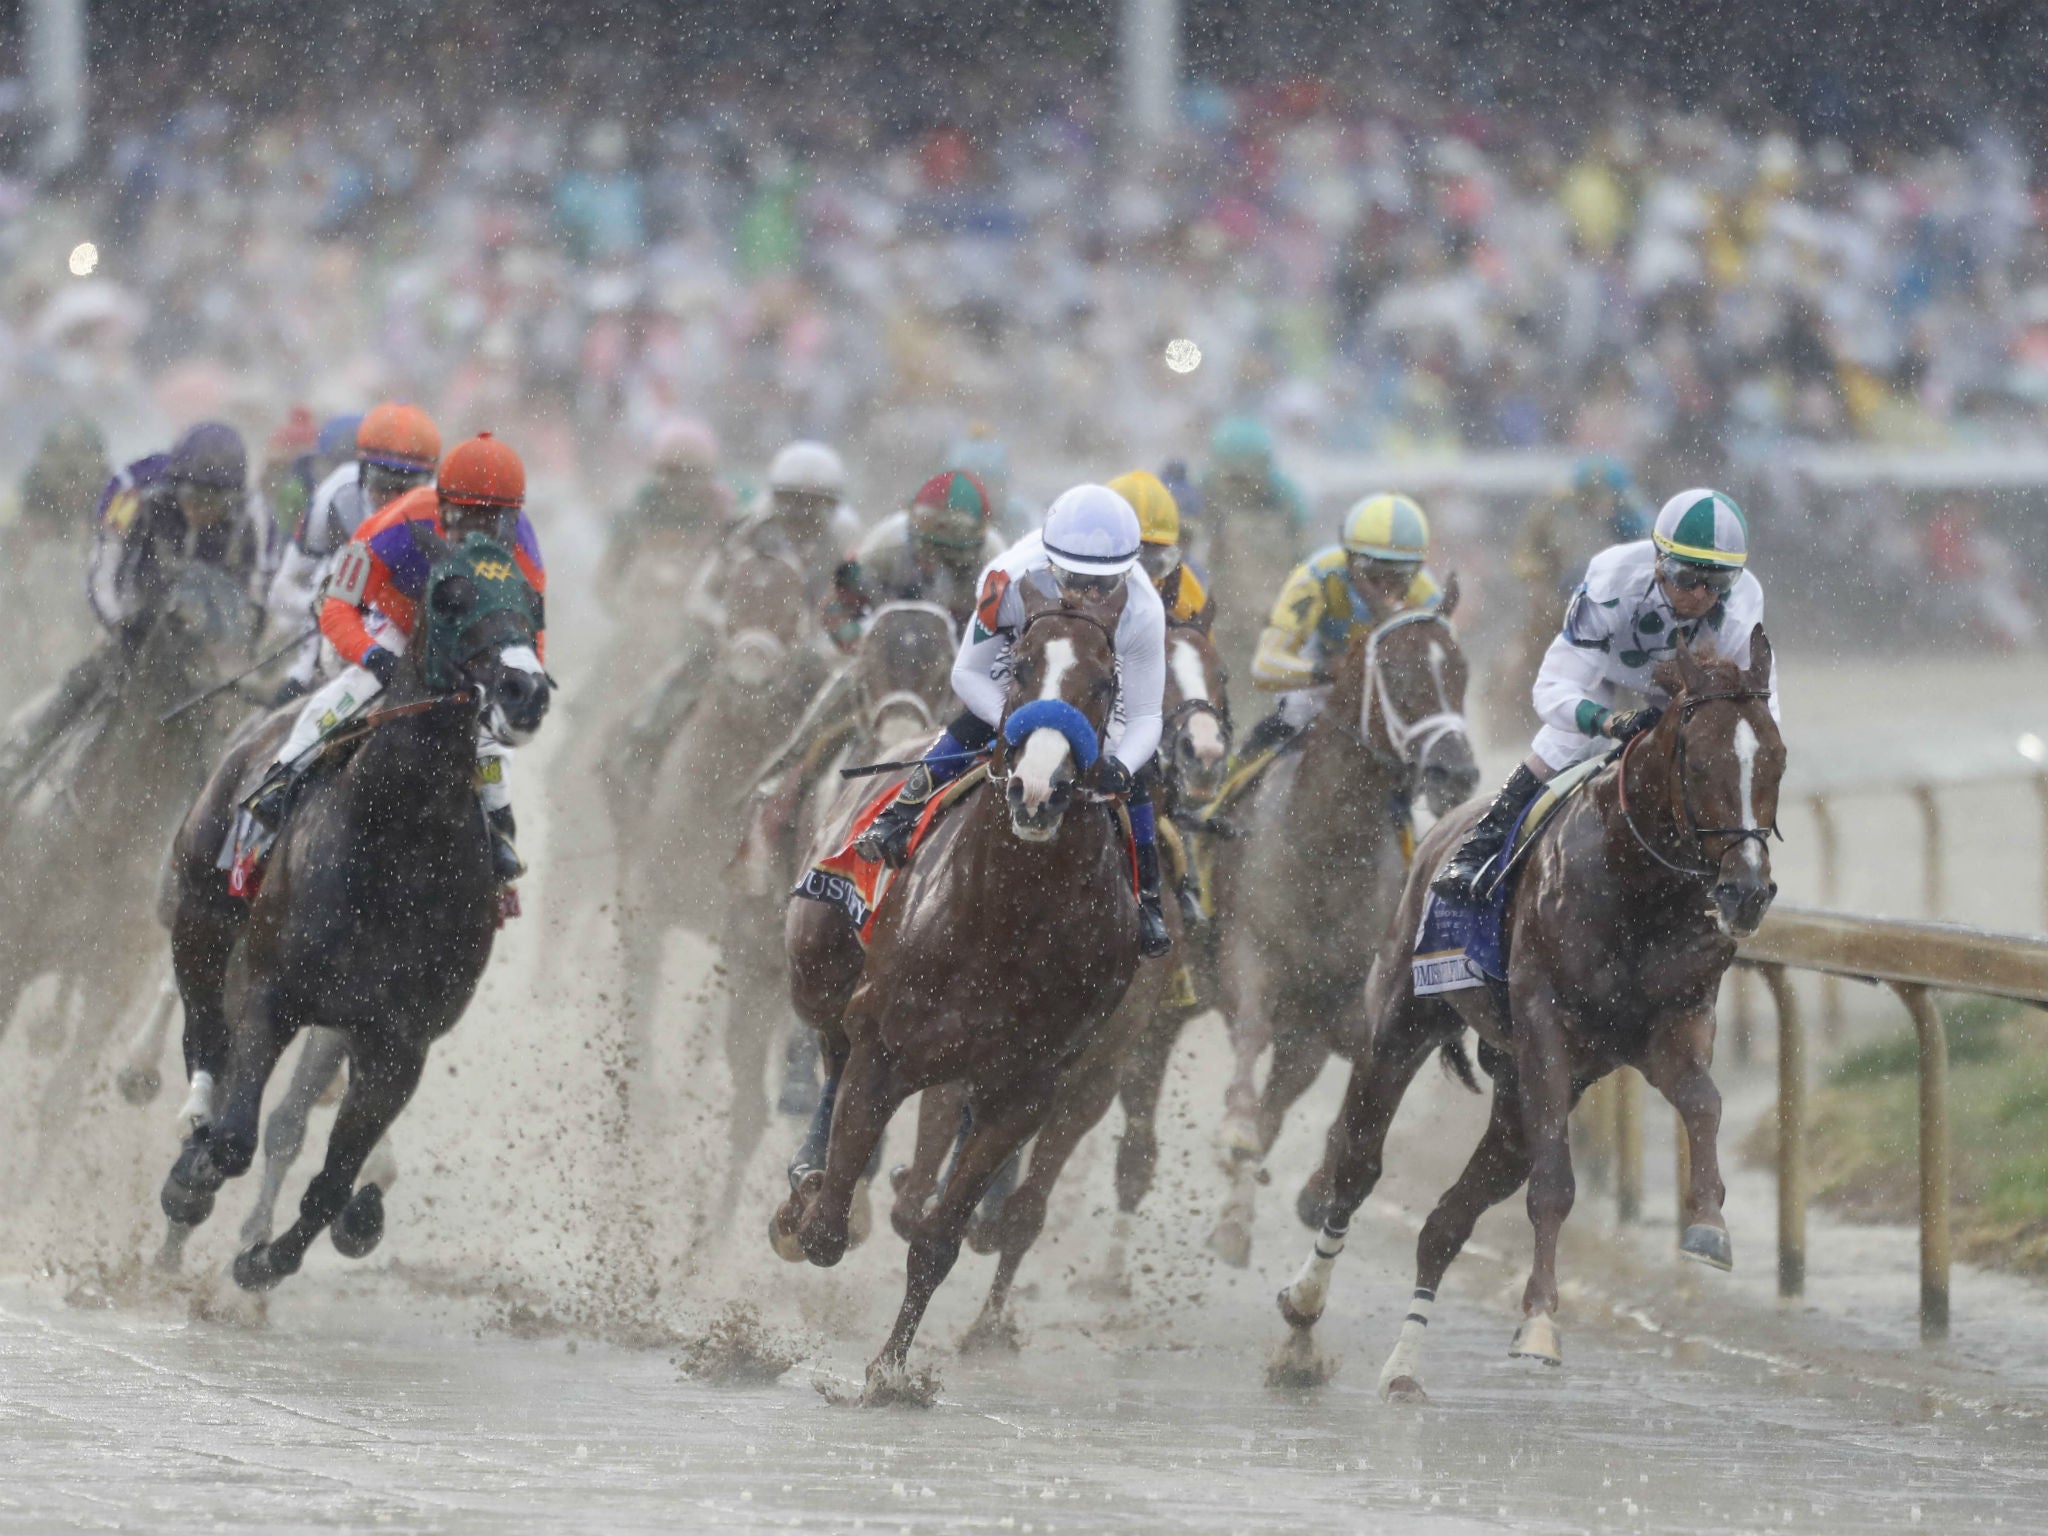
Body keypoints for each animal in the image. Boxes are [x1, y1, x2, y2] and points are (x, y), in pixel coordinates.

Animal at [153, 536, 552, 1294]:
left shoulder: (397, 1044)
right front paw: (193, 1179)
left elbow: (331, 1184)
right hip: (201, 917)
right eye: (448, 596)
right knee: (205, 1038)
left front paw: (271, 1256)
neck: (400, 848)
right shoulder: (270, 992)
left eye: (534, 605)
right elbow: (234, 1141)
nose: (527, 690)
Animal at [774, 577, 1146, 1409]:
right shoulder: (884, 1043)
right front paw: (808, 1203)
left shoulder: (1024, 1091)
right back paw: (807, 1175)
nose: (1038, 791)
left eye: (1104, 686)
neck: (1009, 914)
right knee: (830, 1051)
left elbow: (939, 1239)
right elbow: (829, 1225)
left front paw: (889, 1369)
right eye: (1020, 668)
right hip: (817, 965)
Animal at [1196, 593, 1474, 1269]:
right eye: (1395, 672)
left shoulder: (1339, 1004)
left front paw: (1308, 1192)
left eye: (1460, 671)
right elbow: (1250, 1045)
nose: (1455, 771)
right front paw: (1236, 1133)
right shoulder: (1250, 955)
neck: (1325, 850)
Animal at [1277, 630, 1777, 1400]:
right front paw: (1539, 1322)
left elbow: (1705, 1104)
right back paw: (1303, 1316)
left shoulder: (1671, 1024)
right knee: (1356, 1169)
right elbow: (1554, 1186)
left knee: (1445, 1221)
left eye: (1774, 756)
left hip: (1516, 1089)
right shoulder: (1545, 1024)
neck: (1639, 886)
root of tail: (1438, 832)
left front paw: (1709, 1225)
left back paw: (1403, 1368)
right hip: (1400, 1023)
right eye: (1703, 760)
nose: (1747, 891)